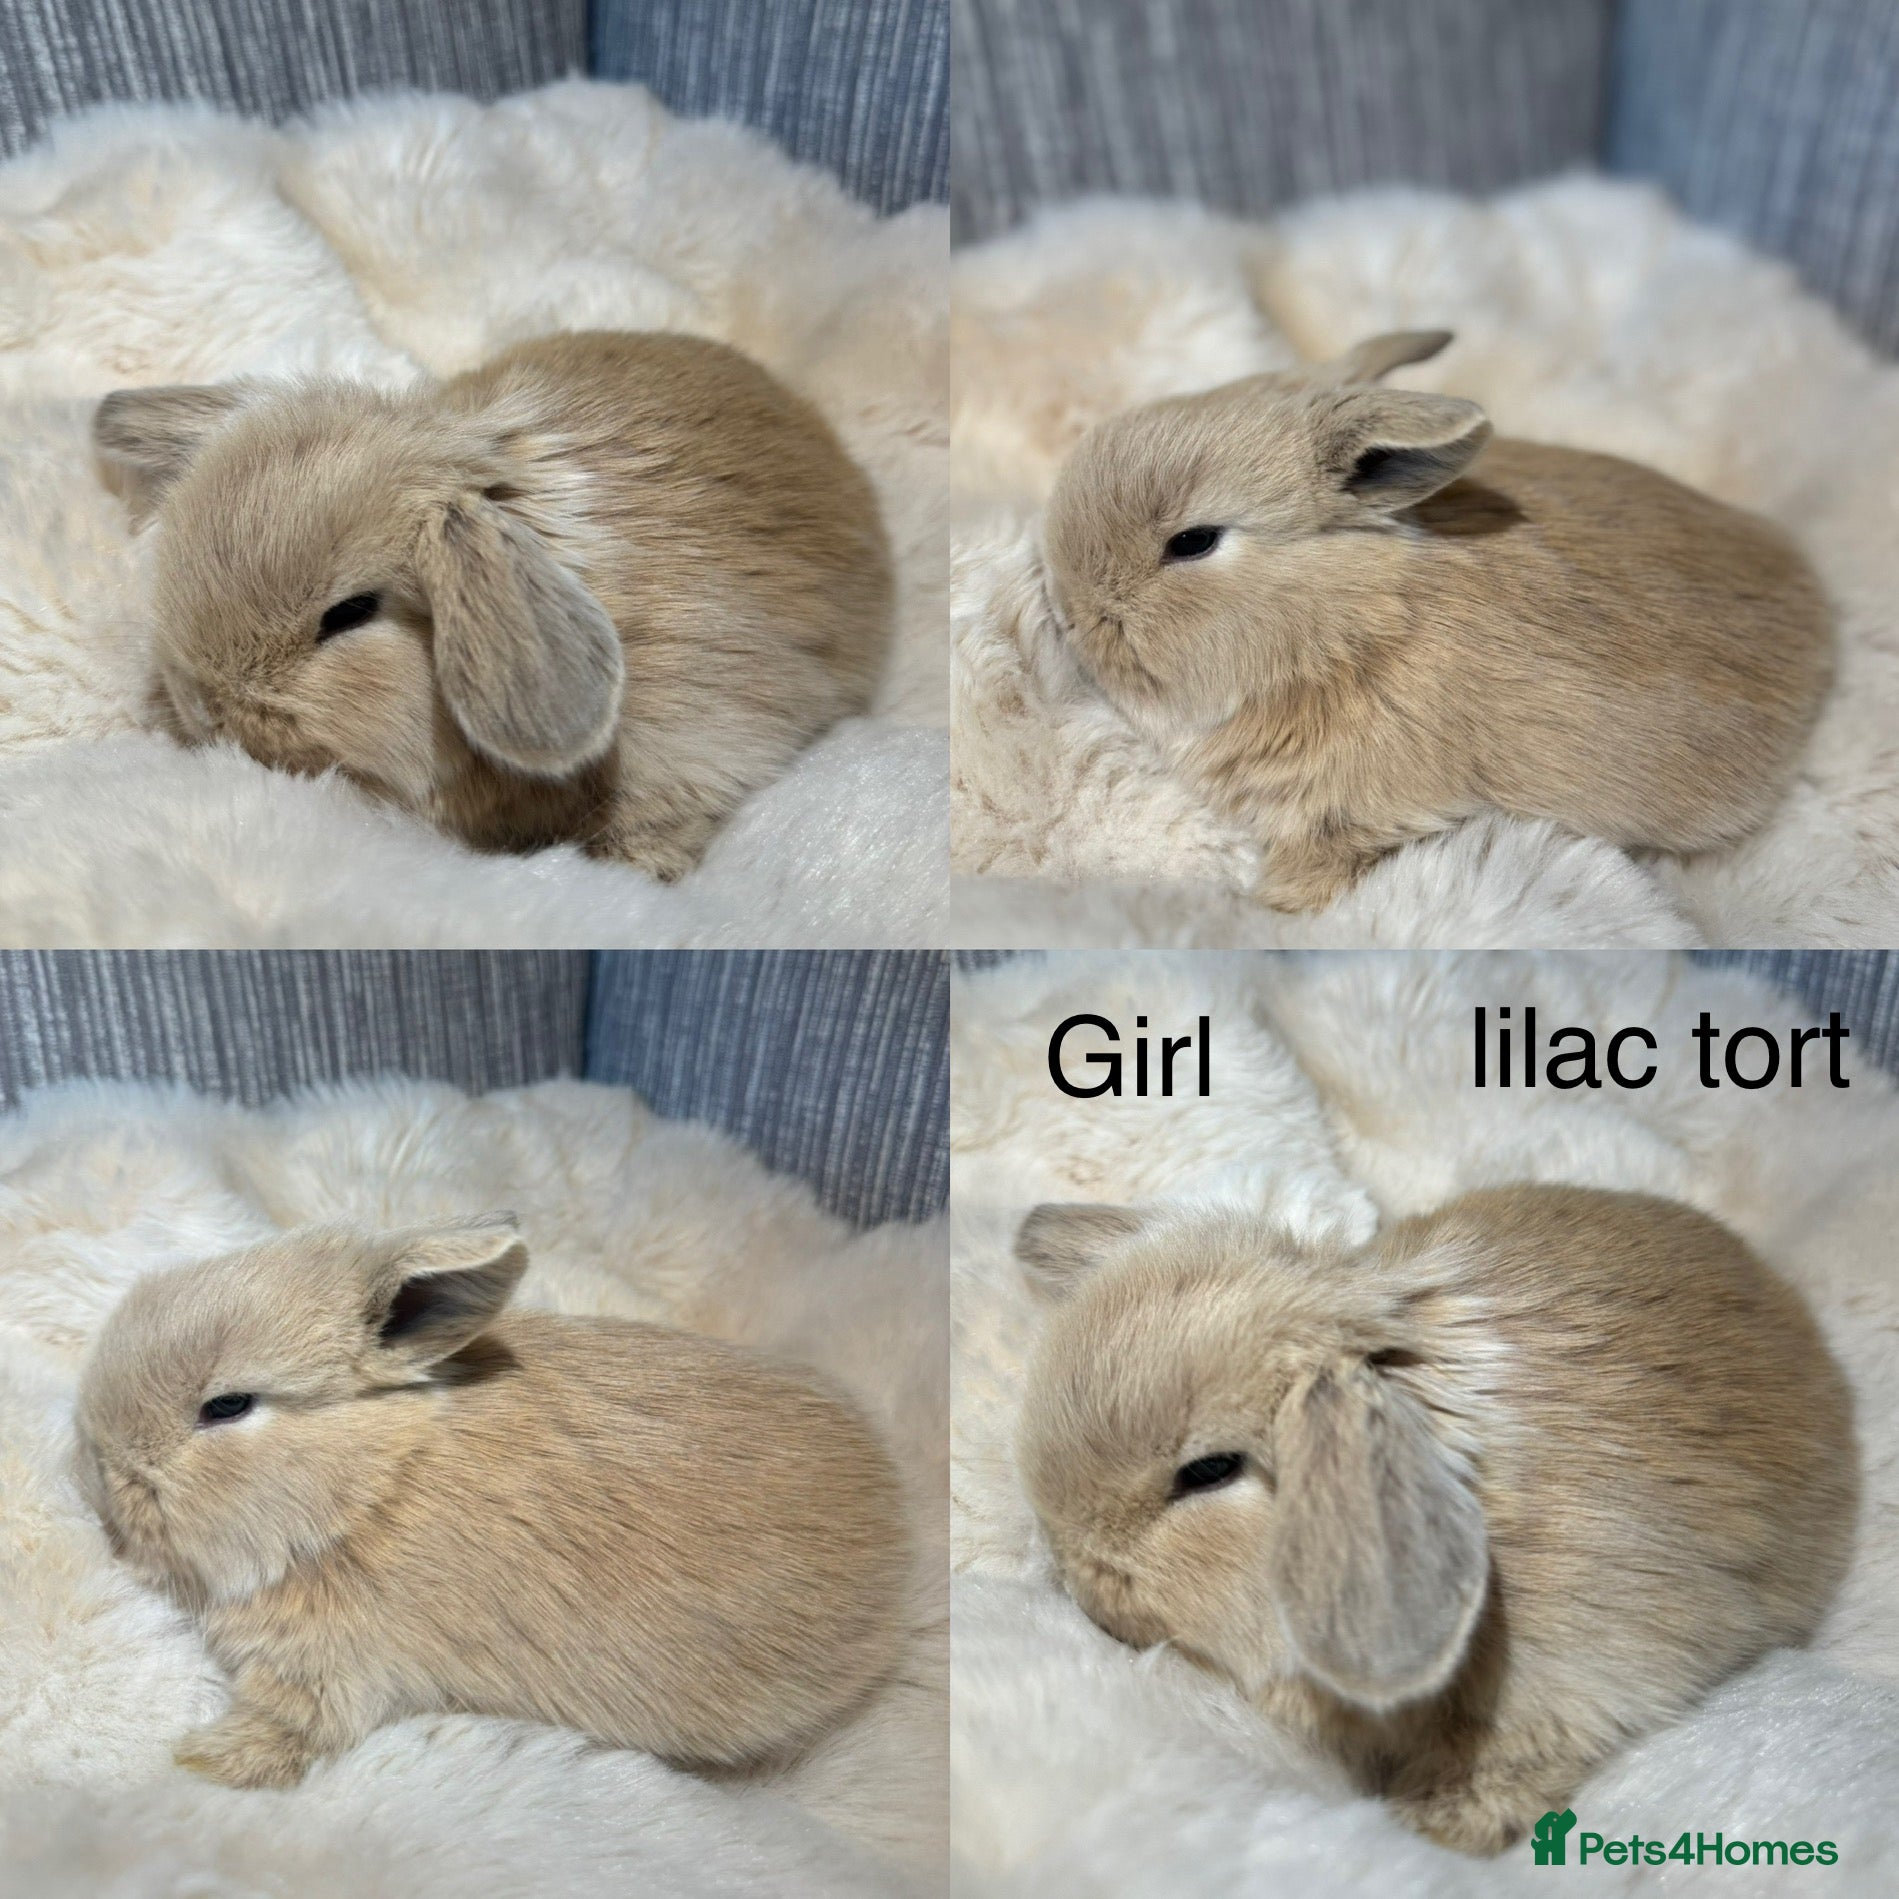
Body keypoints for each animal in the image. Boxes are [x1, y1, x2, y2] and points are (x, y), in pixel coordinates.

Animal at [73, 1213, 911, 1789]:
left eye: (228, 1405)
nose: (97, 1476)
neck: (374, 1488)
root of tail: (896, 1527)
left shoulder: (330, 1671)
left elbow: (288, 1730)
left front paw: (199, 1760)